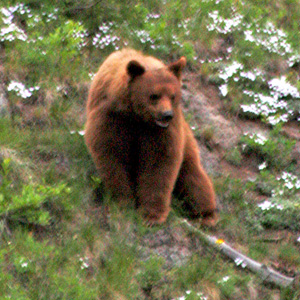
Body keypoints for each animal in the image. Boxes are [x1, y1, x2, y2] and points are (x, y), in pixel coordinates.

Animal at [84, 49, 218, 226]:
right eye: (154, 95)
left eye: (173, 96)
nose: (167, 115)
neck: (137, 116)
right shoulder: (111, 117)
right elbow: (111, 155)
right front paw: (123, 201)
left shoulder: (160, 132)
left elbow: (159, 164)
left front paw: (151, 215)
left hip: (186, 139)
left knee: (194, 176)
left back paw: (205, 214)